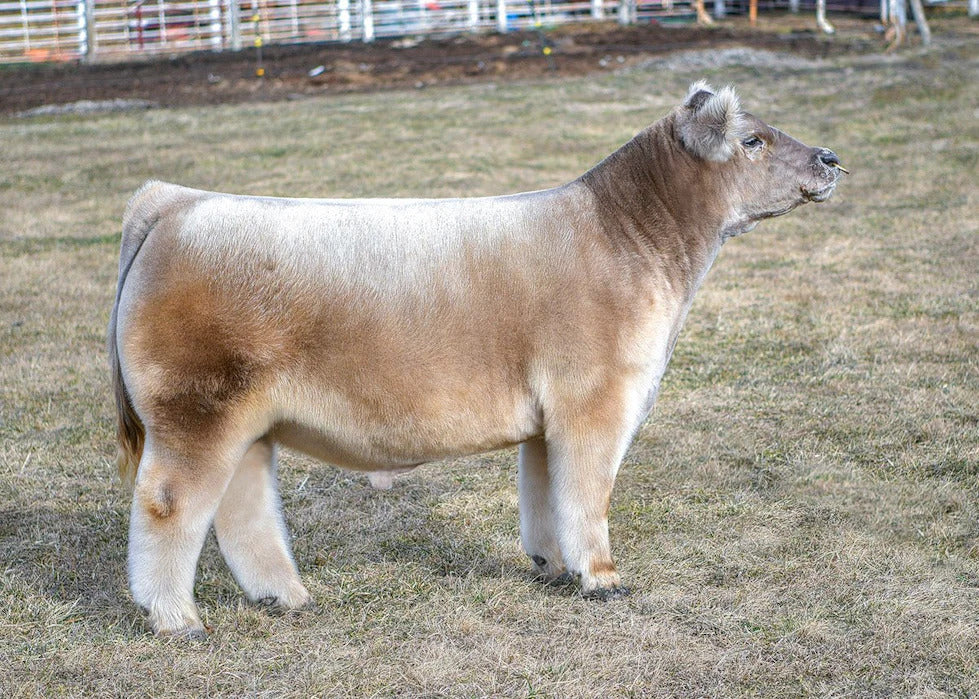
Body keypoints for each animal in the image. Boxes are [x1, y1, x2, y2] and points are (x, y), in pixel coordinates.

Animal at [108, 82, 845, 637]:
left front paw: (553, 567)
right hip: (196, 408)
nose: (831, 157)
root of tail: (178, 201)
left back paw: (284, 596)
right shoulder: (596, 401)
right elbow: (587, 492)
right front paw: (602, 577)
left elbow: (545, 493)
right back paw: (176, 618)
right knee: (170, 503)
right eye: (752, 140)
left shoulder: (551, 418)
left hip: (244, 420)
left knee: (240, 506)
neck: (624, 234)